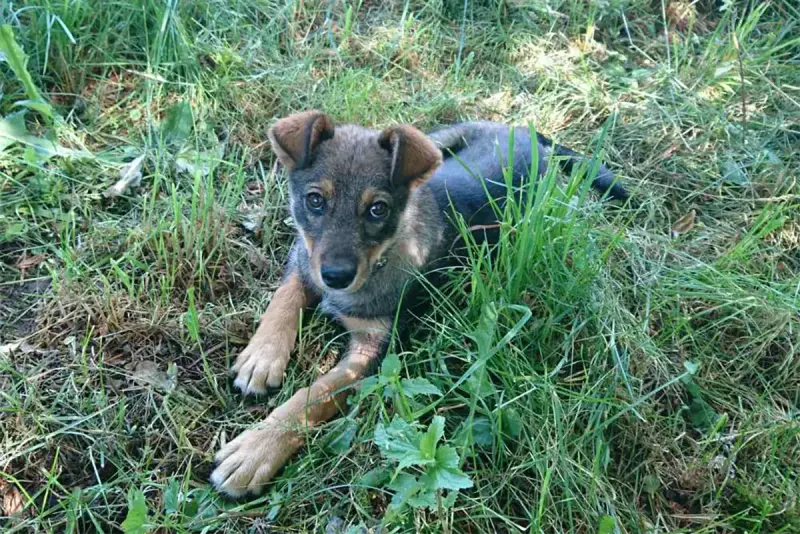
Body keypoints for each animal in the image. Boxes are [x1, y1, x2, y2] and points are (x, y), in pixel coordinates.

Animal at [209, 112, 628, 498]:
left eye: (377, 209)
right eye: (315, 200)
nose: (336, 277)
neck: (384, 257)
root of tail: (524, 131)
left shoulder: (373, 351)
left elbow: (315, 395)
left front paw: (256, 450)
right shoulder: (304, 260)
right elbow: (284, 298)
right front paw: (262, 359)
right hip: (440, 141)